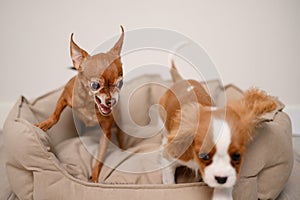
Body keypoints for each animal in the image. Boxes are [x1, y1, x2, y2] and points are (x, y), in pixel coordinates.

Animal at [161, 62, 278, 198]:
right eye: (204, 156)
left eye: (237, 156)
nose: (221, 179)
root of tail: (182, 80)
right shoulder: (169, 157)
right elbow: (169, 182)